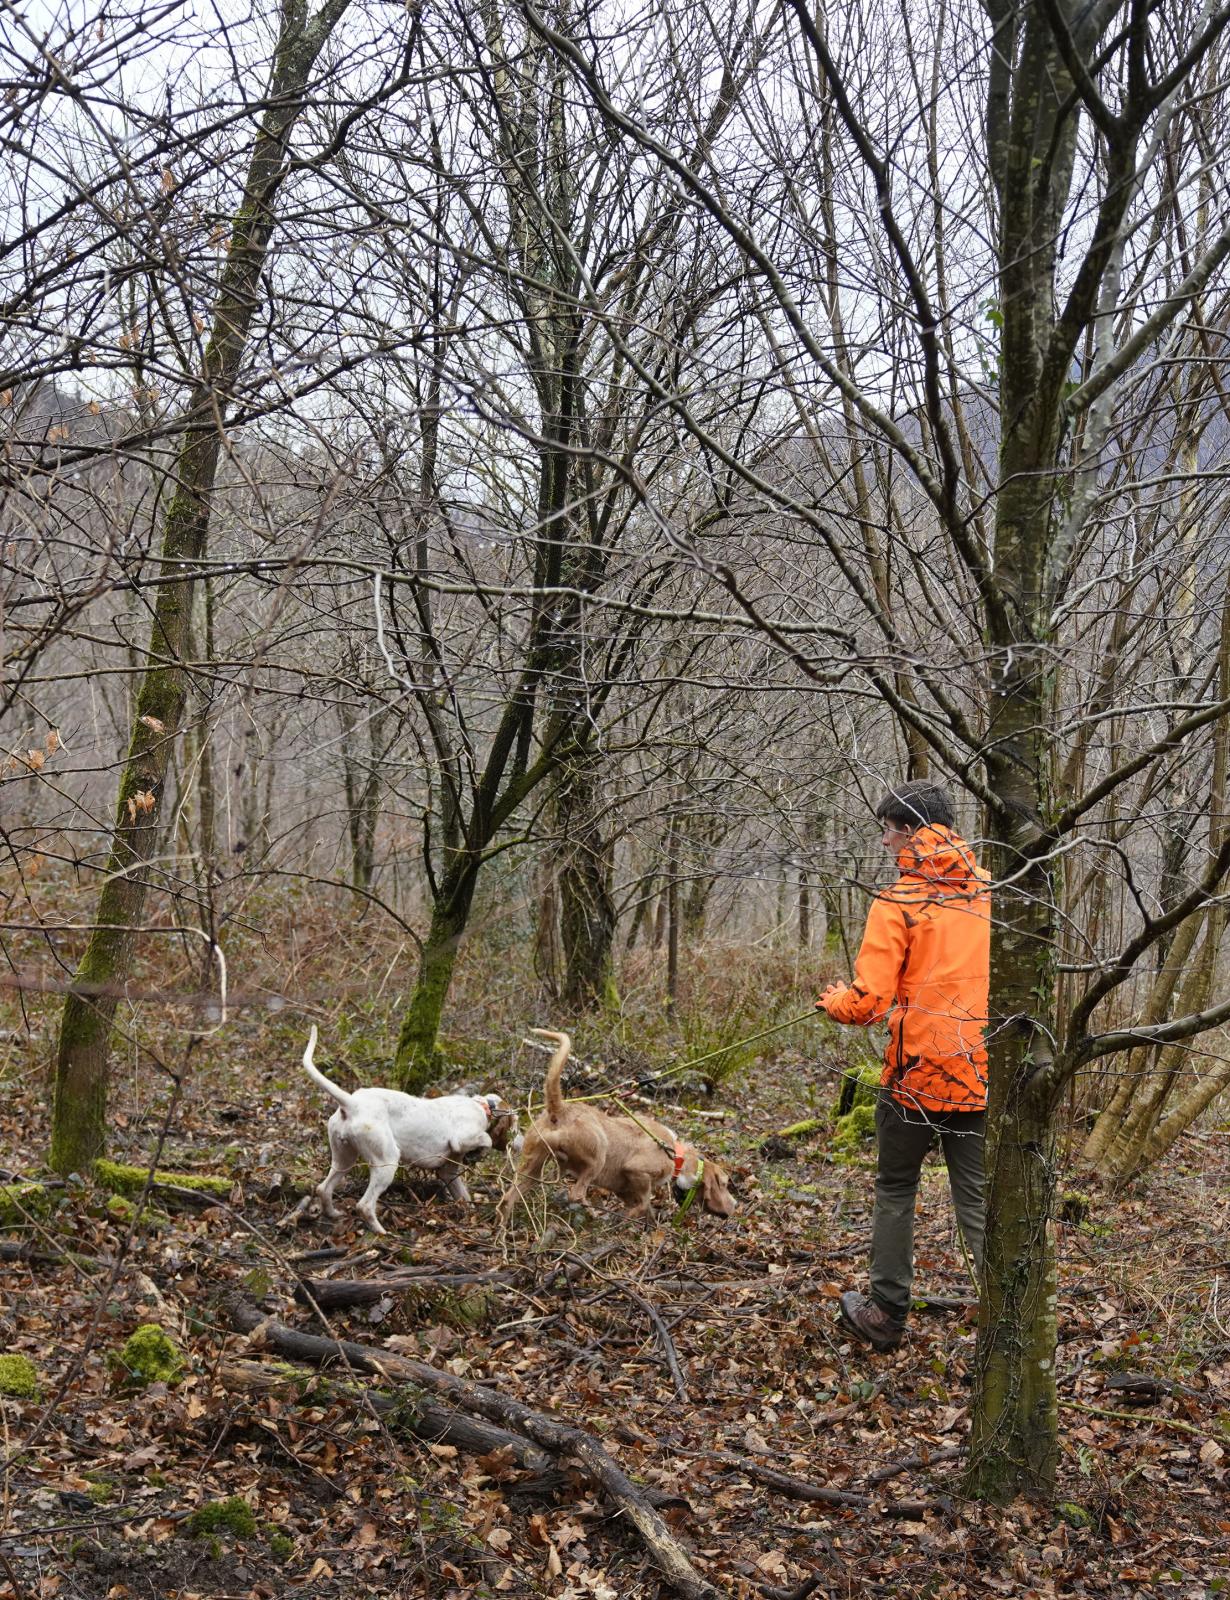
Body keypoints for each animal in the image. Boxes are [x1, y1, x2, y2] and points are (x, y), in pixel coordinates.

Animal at [307, 1024, 518, 1235]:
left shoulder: (448, 1171)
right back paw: (382, 1232)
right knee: (364, 1206)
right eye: (515, 1123)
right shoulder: (461, 1139)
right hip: (386, 1162)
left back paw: (333, 1214)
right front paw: (481, 1151)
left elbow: (463, 1196)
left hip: (344, 1158)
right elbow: (486, 1139)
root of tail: (353, 1103)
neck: (482, 1106)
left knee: (323, 1189)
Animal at [492, 1030, 735, 1216]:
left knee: (506, 1201)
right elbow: (644, 1202)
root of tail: (559, 1108)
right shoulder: (637, 1170)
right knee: (576, 1194)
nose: (735, 1205)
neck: (675, 1153)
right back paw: (594, 1213)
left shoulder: (624, 1189)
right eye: (724, 1183)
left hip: (531, 1169)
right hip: (598, 1155)